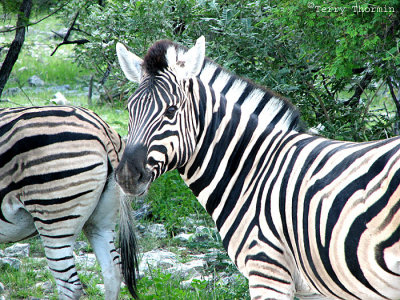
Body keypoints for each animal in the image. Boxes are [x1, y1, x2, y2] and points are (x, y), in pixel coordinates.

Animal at [115, 35, 400, 300]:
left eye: (171, 111)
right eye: (128, 109)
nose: (127, 175)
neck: (253, 171)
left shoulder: (267, 269)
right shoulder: (311, 288)